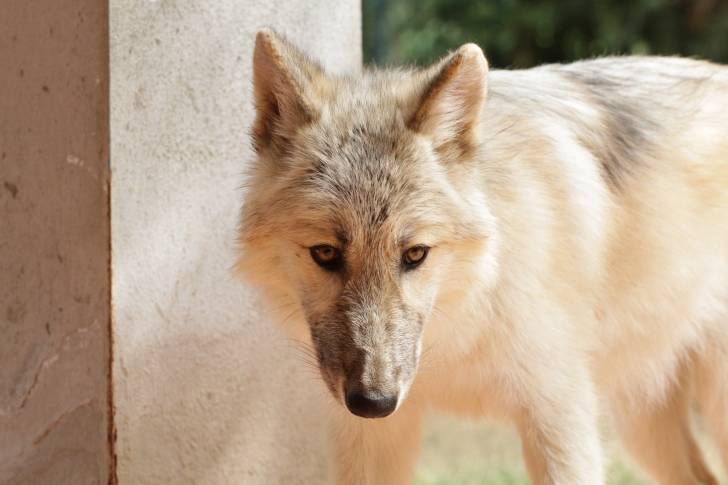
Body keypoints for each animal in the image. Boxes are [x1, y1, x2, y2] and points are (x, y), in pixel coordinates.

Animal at [236, 28, 728, 484]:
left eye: (415, 254)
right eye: (326, 253)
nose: (373, 402)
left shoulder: (559, 415)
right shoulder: (372, 436)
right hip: (645, 429)